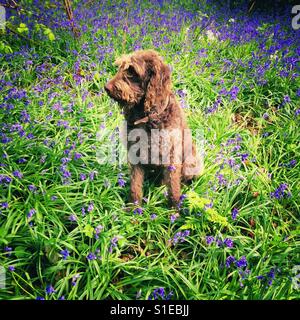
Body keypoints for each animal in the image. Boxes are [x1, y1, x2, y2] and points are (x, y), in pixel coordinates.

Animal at [104, 48, 203, 206]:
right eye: (120, 67)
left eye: (132, 71)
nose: (106, 88)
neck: (148, 118)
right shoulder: (136, 155)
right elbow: (135, 187)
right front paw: (133, 208)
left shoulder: (171, 158)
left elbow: (174, 189)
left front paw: (174, 210)